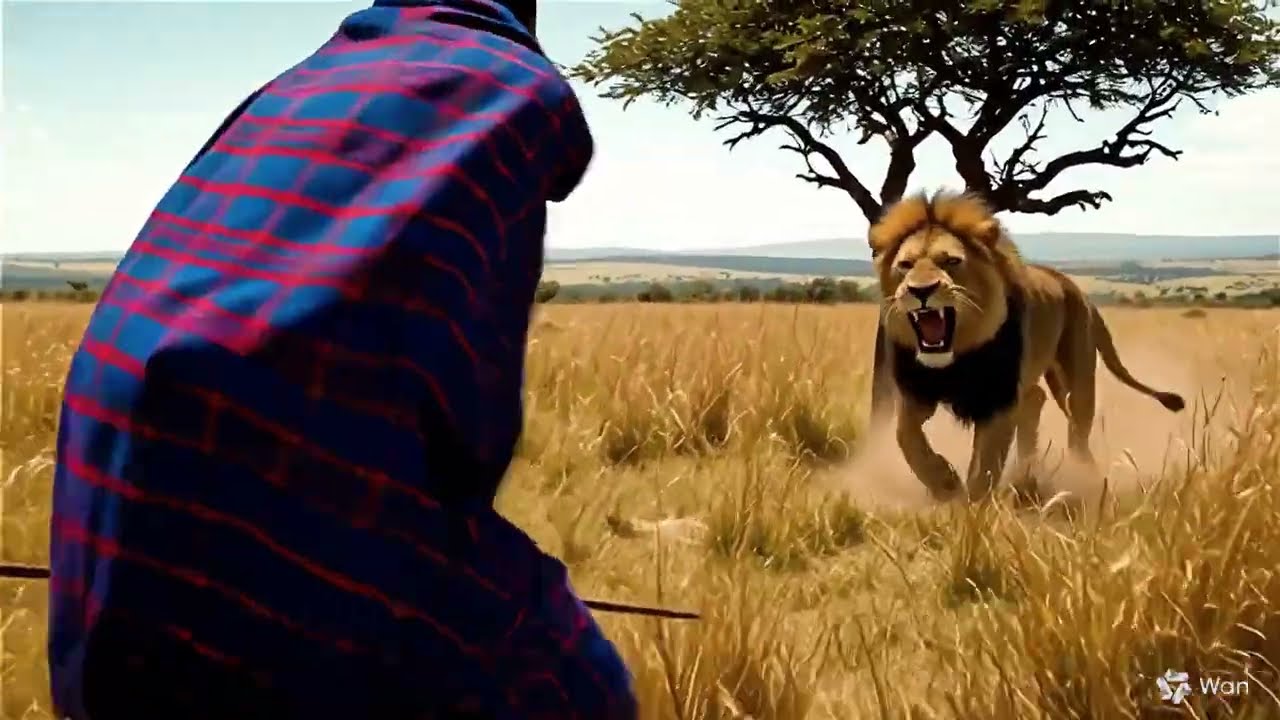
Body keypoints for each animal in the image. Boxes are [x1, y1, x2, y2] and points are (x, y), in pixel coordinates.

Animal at [865, 190, 1186, 501]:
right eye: (905, 265)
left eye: (951, 262)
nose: (920, 290)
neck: (957, 357)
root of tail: (1080, 293)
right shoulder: (915, 393)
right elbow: (906, 437)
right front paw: (944, 482)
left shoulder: (999, 399)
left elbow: (985, 464)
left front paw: (973, 509)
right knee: (1036, 399)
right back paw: (1028, 469)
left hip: (1075, 380)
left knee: (1077, 429)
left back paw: (1081, 474)